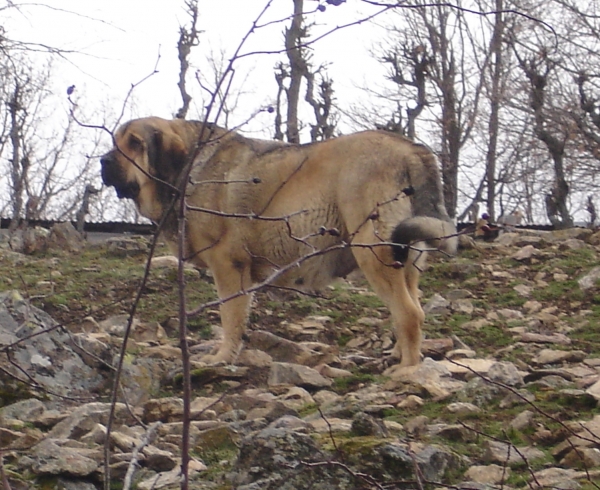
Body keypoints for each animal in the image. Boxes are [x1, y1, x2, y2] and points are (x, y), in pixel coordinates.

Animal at [101, 117, 454, 366]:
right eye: (116, 141)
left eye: (135, 143)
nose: (104, 162)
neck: (187, 167)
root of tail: (412, 149)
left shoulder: (229, 267)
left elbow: (231, 317)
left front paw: (222, 357)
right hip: (406, 257)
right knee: (409, 305)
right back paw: (398, 354)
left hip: (373, 251)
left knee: (409, 313)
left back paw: (407, 371)